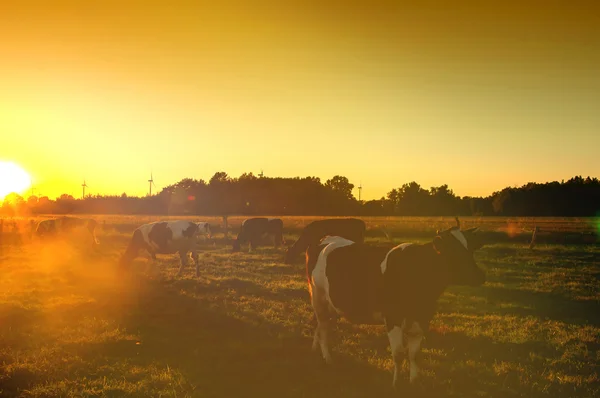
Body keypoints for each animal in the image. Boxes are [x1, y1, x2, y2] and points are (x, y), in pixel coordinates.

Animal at [308, 225, 486, 390]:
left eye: (471, 248)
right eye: (452, 250)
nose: (480, 276)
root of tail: (327, 238)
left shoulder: (422, 318)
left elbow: (414, 354)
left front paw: (414, 382)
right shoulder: (393, 318)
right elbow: (399, 353)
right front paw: (396, 384)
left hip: (332, 303)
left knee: (320, 324)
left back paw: (315, 350)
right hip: (318, 297)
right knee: (323, 327)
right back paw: (327, 359)